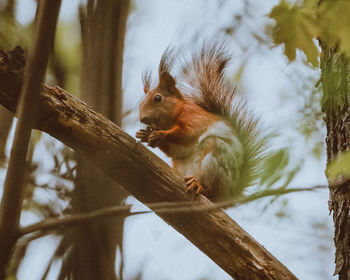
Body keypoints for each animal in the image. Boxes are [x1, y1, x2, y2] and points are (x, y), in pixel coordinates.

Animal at [135, 42, 264, 200]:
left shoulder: (193, 117)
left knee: (213, 191)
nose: (142, 118)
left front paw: (160, 135)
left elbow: (188, 133)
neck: (170, 120)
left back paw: (201, 187)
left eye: (157, 98)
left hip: (217, 159)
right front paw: (146, 135)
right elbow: (175, 151)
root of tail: (229, 195)